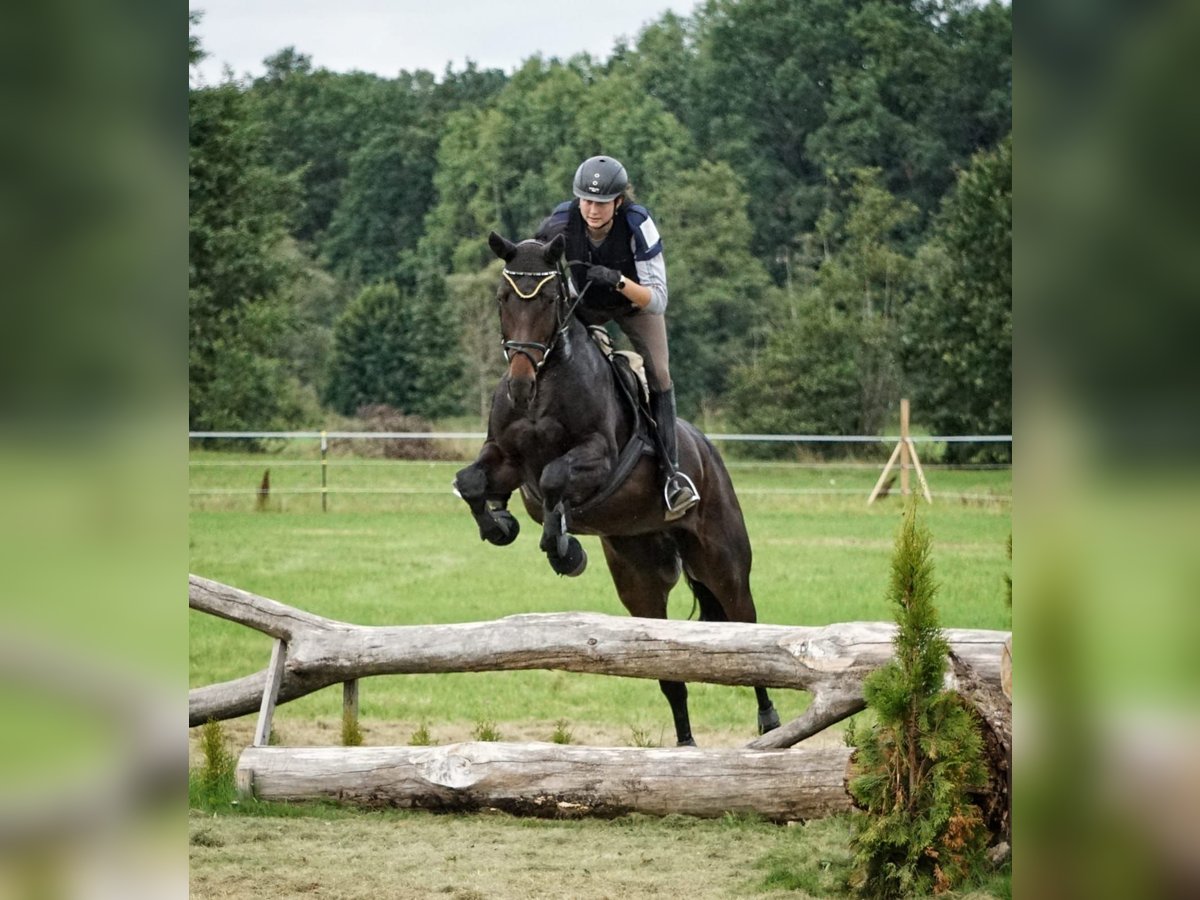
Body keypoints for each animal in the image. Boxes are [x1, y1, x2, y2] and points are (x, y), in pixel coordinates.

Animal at [453, 232, 782, 748]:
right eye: (504, 298)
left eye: (550, 299)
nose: (521, 384)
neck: (545, 386)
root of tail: (707, 448)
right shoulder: (505, 460)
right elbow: (472, 481)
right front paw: (500, 524)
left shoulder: (600, 459)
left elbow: (554, 478)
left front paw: (564, 550)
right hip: (640, 578)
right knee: (668, 669)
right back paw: (685, 745)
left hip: (722, 561)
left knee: (746, 626)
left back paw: (769, 722)